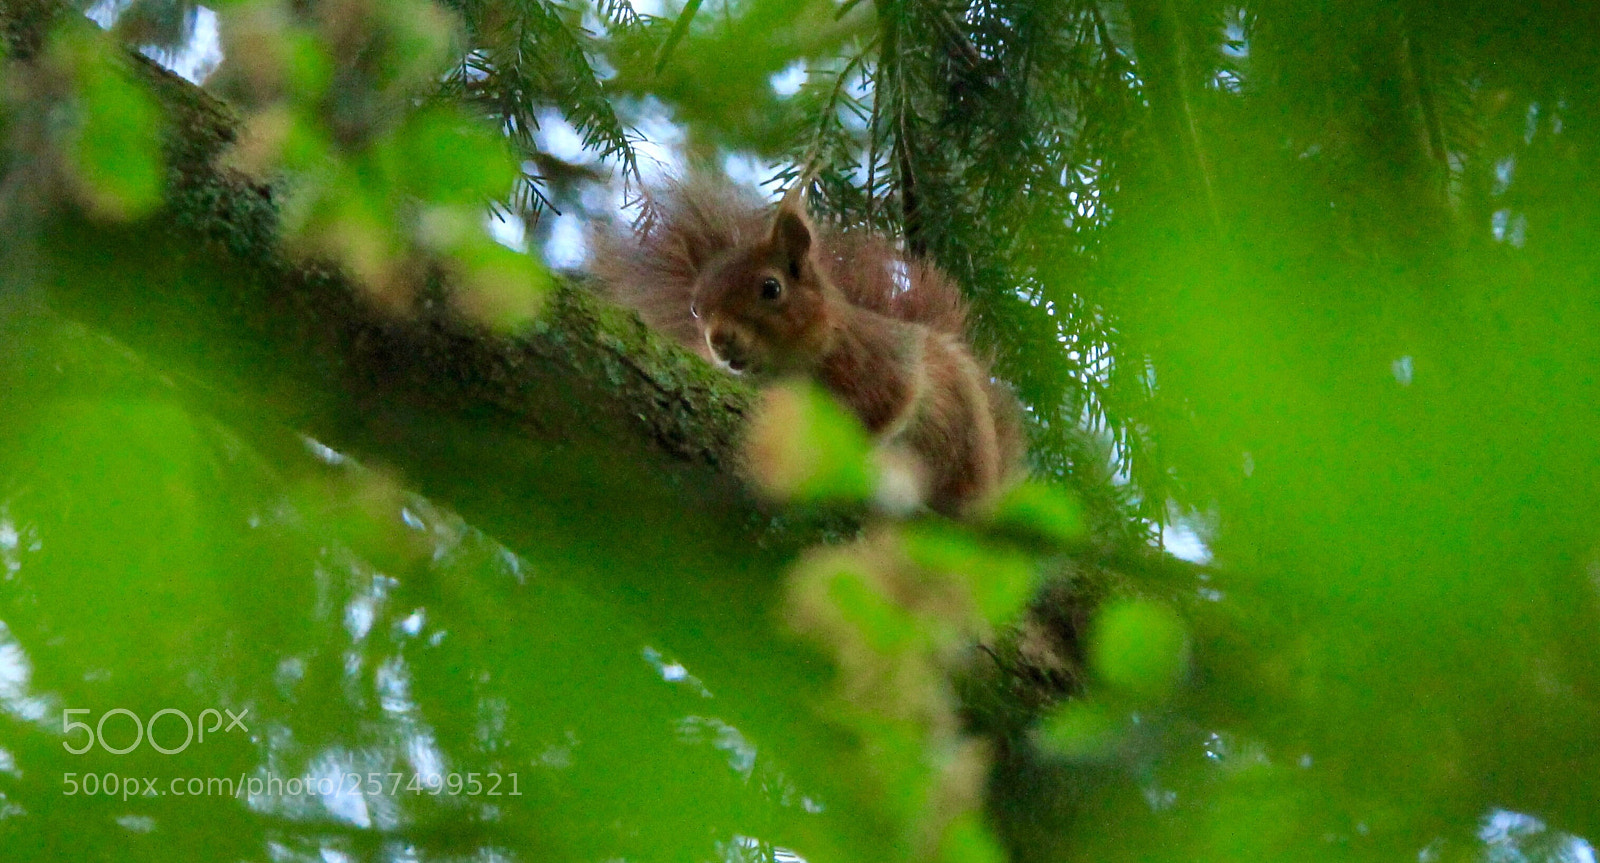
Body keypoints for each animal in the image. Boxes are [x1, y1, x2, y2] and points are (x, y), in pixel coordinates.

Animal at [591, 177, 1023, 516]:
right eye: (696, 308)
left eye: (771, 288)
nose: (719, 341)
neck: (791, 365)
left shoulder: (876, 358)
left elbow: (888, 403)